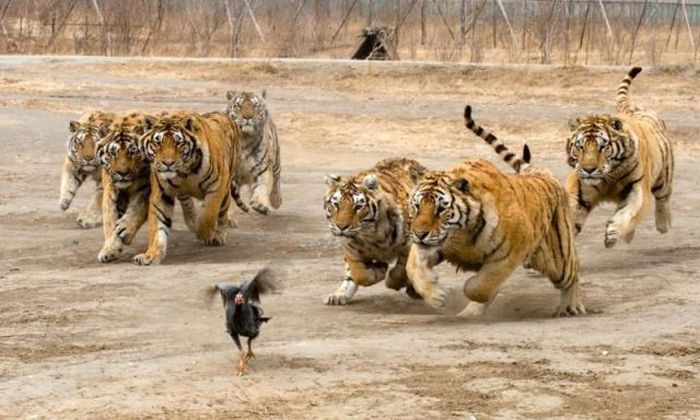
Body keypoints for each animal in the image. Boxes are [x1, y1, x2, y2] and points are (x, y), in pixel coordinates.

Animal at [133, 110, 242, 266]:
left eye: (178, 143)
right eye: (157, 142)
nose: (167, 163)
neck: (184, 172)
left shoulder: (216, 187)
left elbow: (209, 215)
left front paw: (205, 233)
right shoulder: (161, 194)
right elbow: (157, 226)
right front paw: (151, 255)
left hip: (226, 188)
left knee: (222, 214)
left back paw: (219, 234)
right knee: (187, 203)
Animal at [322, 158, 426, 306]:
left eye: (358, 207)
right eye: (336, 204)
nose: (341, 226)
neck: (369, 236)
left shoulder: (410, 242)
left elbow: (402, 268)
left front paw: (392, 281)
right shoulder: (350, 248)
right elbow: (359, 274)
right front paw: (380, 269)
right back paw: (338, 295)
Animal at [404, 106, 584, 318]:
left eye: (441, 209)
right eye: (417, 206)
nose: (419, 234)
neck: (462, 233)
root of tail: (540, 172)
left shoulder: (512, 251)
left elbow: (482, 285)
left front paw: (468, 289)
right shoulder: (431, 246)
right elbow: (413, 268)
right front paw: (436, 296)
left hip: (559, 259)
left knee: (573, 275)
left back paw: (571, 307)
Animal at [564, 67, 672, 248]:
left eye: (603, 147)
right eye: (580, 146)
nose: (589, 170)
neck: (609, 176)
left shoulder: (637, 187)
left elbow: (628, 212)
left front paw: (612, 234)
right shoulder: (580, 191)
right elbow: (571, 214)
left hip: (663, 177)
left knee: (663, 199)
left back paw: (664, 225)